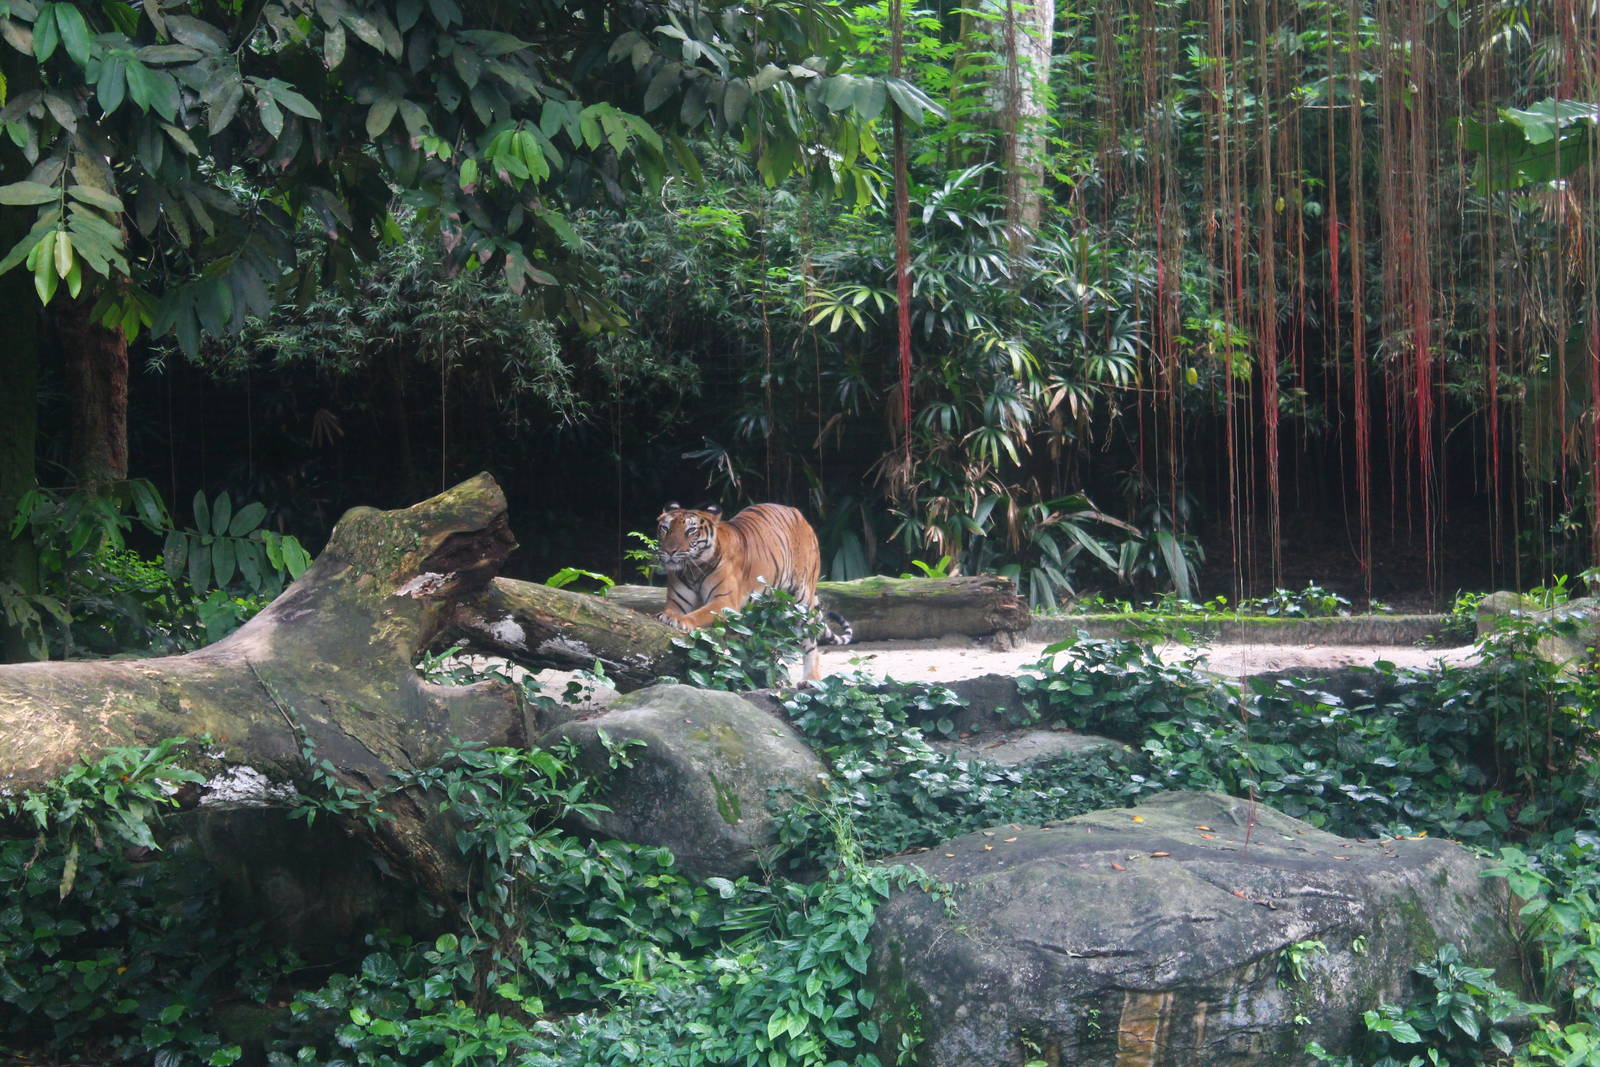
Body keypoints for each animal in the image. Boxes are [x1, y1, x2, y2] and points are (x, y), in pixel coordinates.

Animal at [654, 501, 852, 680]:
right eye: (665, 528)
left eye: (691, 530)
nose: (669, 551)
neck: (693, 569)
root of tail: (797, 513)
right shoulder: (677, 601)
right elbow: (671, 609)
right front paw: (667, 616)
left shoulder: (724, 603)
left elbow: (699, 614)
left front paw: (681, 620)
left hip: (802, 598)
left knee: (810, 641)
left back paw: (811, 680)